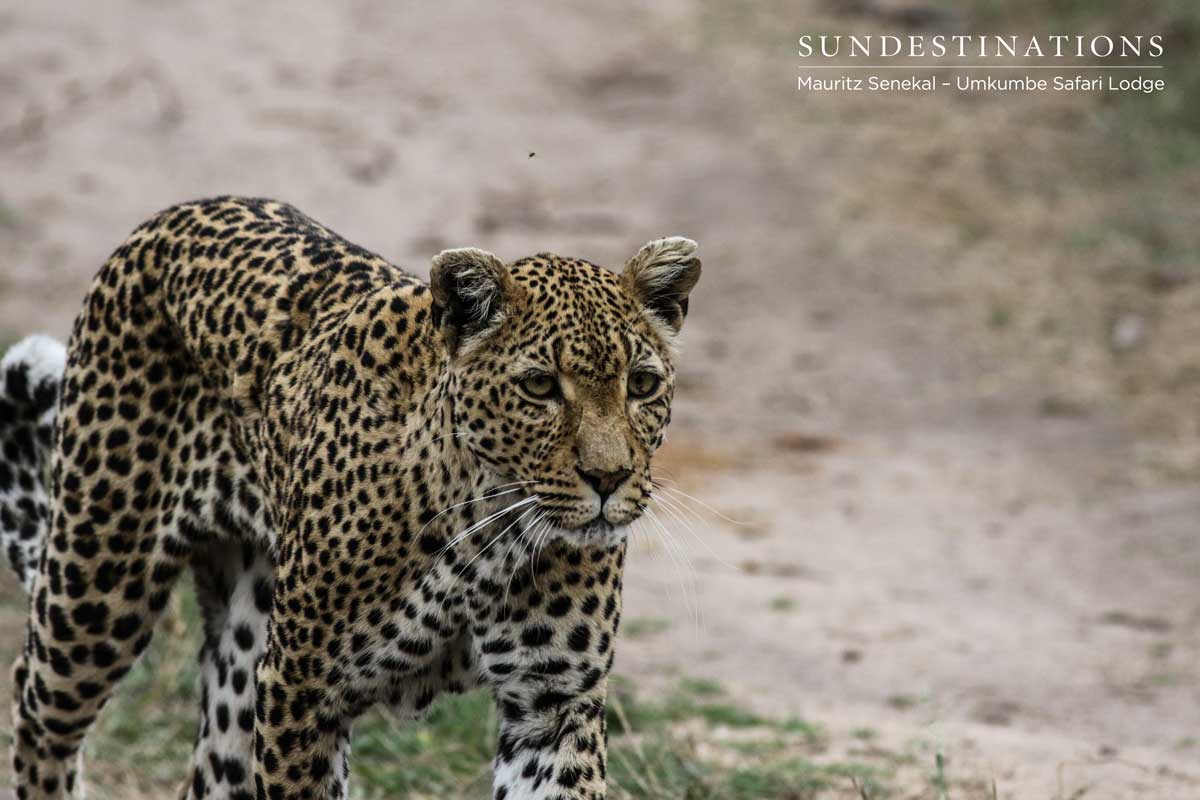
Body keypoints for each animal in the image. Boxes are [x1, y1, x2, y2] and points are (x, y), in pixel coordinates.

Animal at [0, 196, 701, 800]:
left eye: (642, 385)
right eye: (539, 387)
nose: (609, 477)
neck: (484, 530)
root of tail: (172, 215)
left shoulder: (553, 705)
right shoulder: (301, 690)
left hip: (242, 653)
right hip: (98, 585)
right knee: (38, 710)